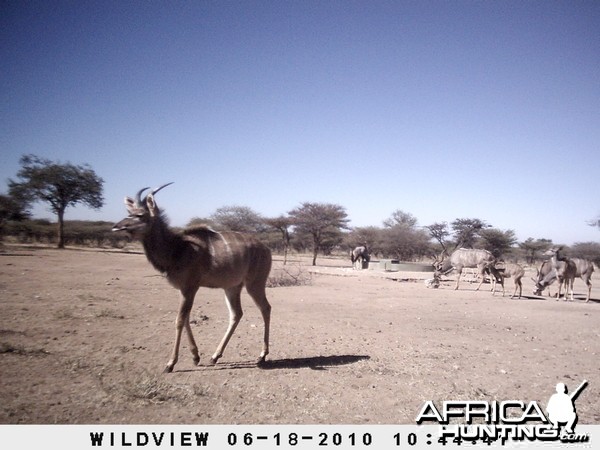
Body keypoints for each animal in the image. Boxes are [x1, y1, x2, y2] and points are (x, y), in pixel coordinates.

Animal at [112, 183, 272, 372]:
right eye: (129, 212)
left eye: (140, 215)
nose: (116, 227)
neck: (177, 248)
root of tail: (267, 249)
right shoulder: (183, 290)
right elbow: (187, 318)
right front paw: (195, 357)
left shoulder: (190, 288)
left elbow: (180, 320)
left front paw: (170, 363)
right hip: (232, 287)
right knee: (236, 314)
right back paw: (215, 356)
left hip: (254, 284)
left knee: (265, 308)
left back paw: (262, 356)